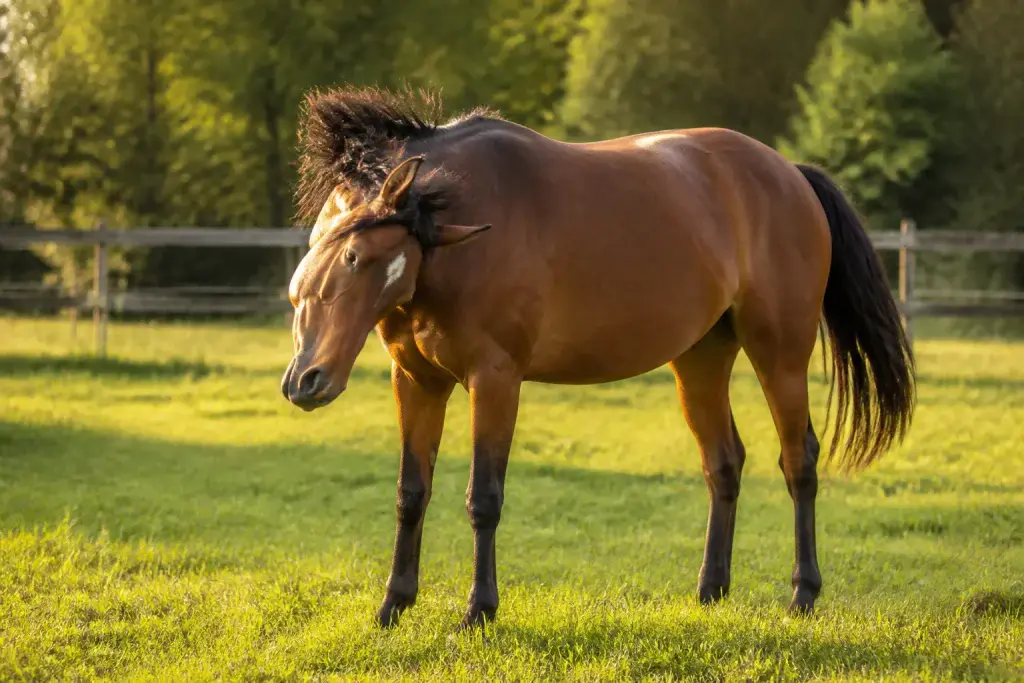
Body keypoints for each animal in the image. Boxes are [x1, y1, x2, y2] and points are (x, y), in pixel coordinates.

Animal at [281, 86, 915, 630]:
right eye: (320, 243)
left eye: (358, 255)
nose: (305, 380)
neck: (455, 225)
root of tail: (790, 174)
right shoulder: (415, 380)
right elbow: (411, 494)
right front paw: (393, 605)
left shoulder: (496, 379)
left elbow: (484, 497)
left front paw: (479, 611)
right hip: (700, 360)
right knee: (724, 462)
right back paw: (710, 591)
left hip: (779, 353)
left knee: (798, 460)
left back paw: (803, 594)